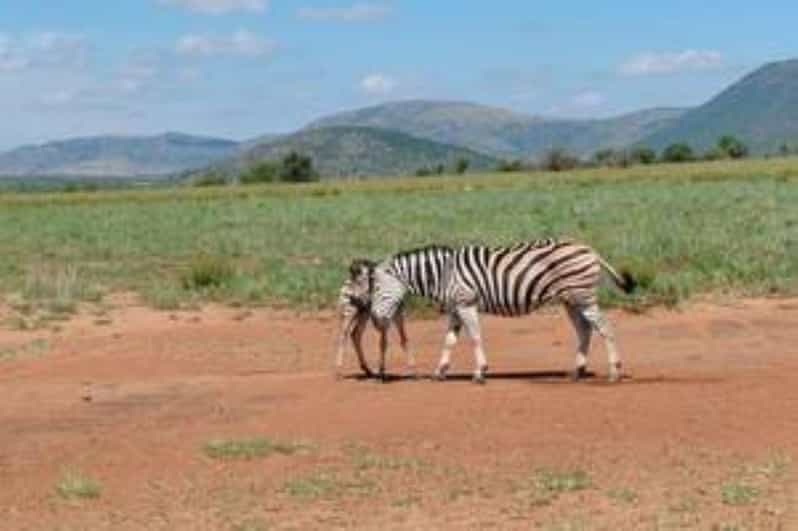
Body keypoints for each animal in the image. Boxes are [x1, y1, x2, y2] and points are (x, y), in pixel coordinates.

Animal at [368, 240, 636, 382]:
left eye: (377, 288)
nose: (374, 319)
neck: (444, 274)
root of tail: (590, 250)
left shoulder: (466, 303)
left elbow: (475, 337)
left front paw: (480, 372)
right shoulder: (455, 308)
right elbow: (449, 340)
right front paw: (440, 371)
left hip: (582, 295)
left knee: (604, 327)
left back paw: (614, 371)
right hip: (571, 299)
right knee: (585, 329)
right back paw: (577, 371)